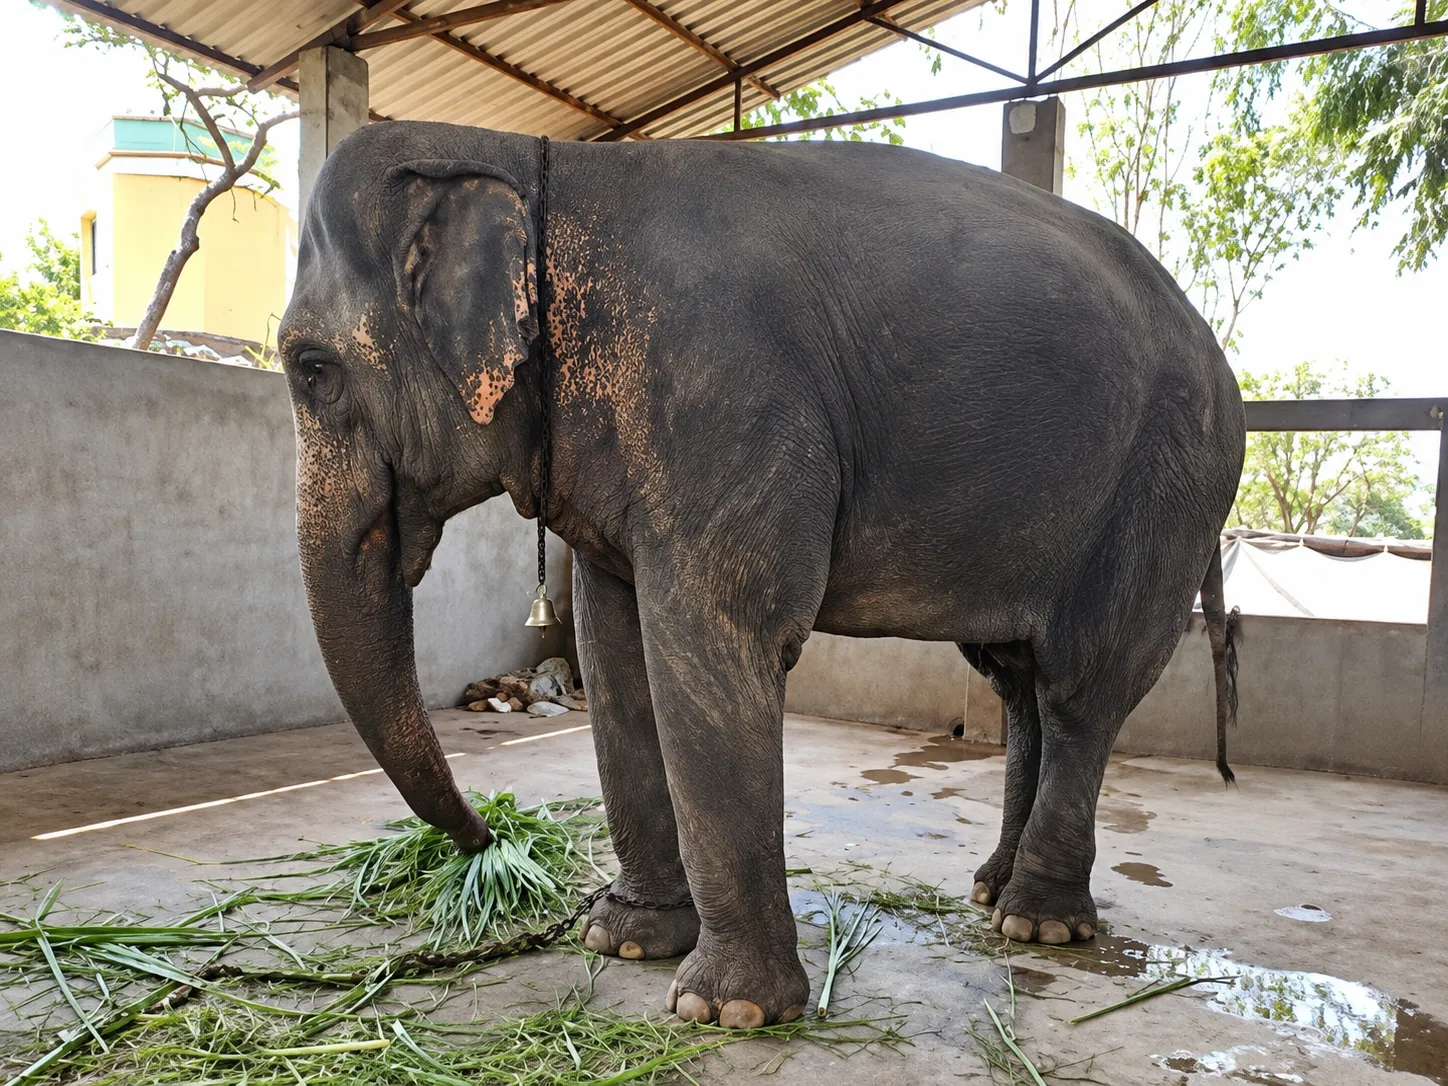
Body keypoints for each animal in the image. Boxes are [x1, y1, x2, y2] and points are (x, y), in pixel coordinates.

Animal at [279, 120, 1246, 1030]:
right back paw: (992, 891)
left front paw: (727, 1011)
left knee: (1082, 689)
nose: (486, 837)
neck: (533, 160)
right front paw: (622, 939)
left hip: (1165, 488)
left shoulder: (723, 399)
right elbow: (614, 654)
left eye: (311, 372)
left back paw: (1037, 924)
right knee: (1020, 686)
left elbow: (714, 645)